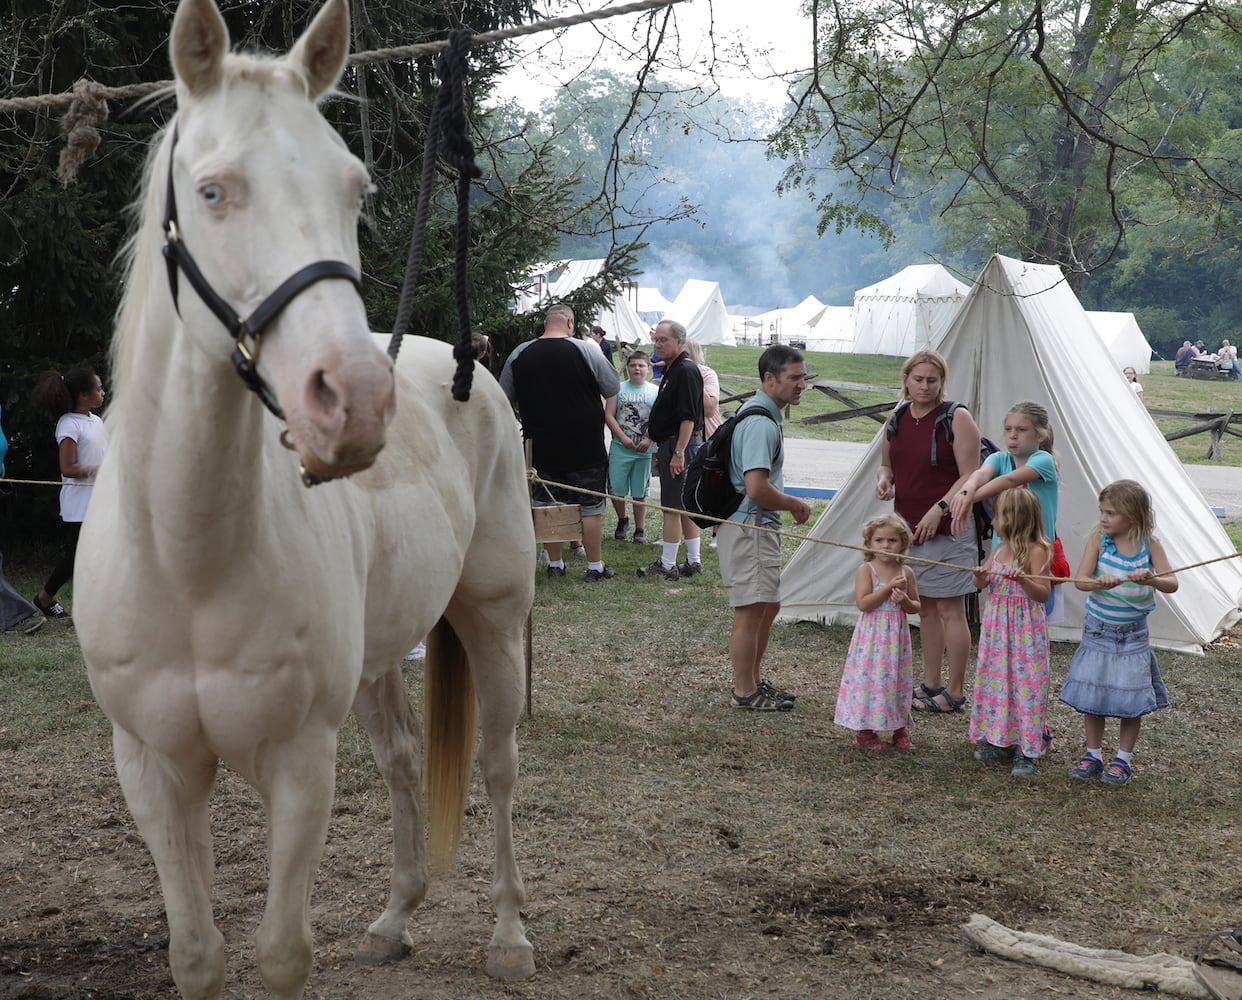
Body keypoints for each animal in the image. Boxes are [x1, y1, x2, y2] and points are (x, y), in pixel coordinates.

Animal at [72, 0, 536, 993]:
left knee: (498, 763)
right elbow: (197, 955)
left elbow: (284, 954)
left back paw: (510, 935)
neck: (191, 561)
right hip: (377, 661)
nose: (356, 399)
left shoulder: (299, 766)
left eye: (355, 190)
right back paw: (396, 917)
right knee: (401, 760)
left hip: (493, 619)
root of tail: (467, 368)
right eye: (213, 191)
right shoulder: (155, 771)